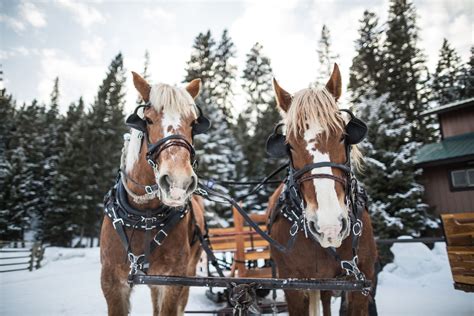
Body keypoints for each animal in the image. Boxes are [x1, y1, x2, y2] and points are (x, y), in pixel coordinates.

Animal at [100, 72, 209, 316]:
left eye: (192, 123)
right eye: (148, 120)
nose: (178, 182)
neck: (145, 215)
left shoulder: (173, 280)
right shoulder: (112, 282)